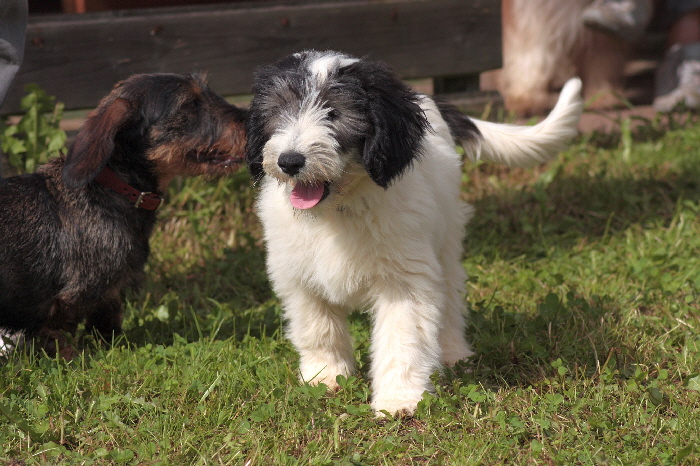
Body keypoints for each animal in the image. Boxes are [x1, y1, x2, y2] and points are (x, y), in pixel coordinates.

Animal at [243, 51, 584, 416]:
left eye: (334, 112)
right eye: (279, 111)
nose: (289, 161)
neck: (339, 209)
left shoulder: (405, 277)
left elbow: (402, 336)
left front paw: (399, 399)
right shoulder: (298, 273)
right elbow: (317, 327)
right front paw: (325, 376)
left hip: (446, 240)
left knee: (450, 299)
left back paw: (453, 353)